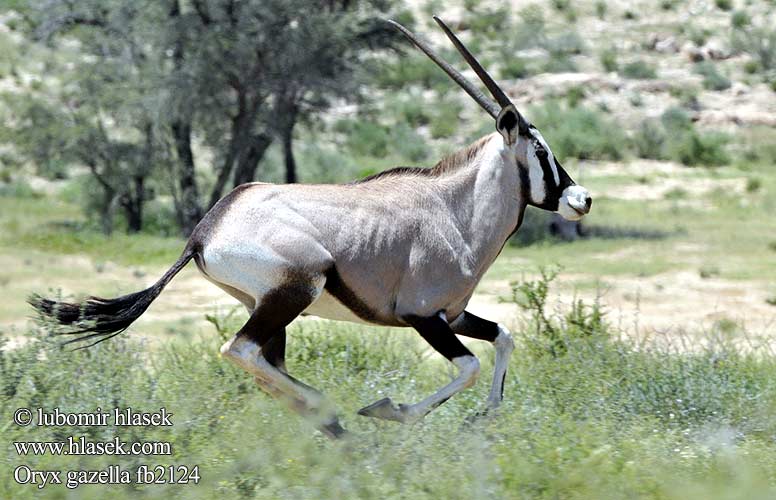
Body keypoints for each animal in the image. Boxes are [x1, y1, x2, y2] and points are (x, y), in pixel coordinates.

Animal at [27, 17, 592, 438]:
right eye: (542, 150)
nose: (581, 199)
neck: (455, 207)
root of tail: (204, 231)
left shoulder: (453, 315)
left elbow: (503, 338)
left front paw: (484, 417)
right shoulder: (423, 316)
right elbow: (469, 366)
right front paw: (389, 410)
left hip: (267, 305)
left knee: (266, 362)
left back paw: (332, 430)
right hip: (296, 290)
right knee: (240, 350)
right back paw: (336, 419)